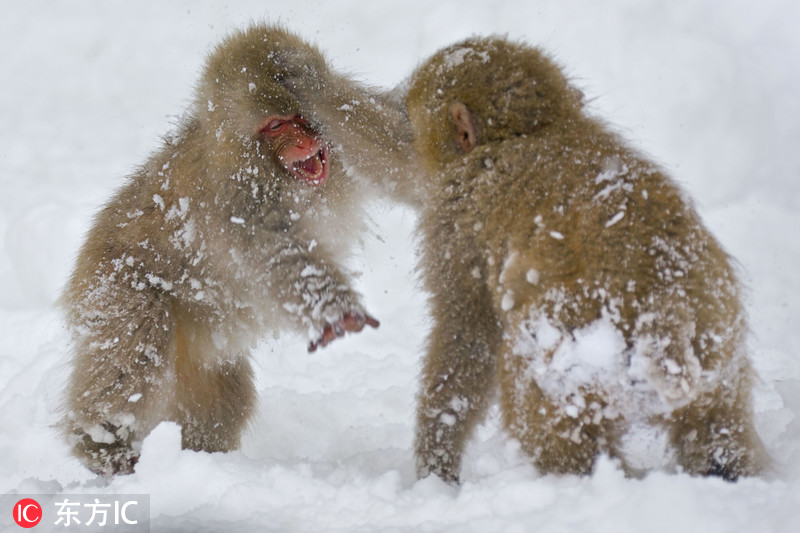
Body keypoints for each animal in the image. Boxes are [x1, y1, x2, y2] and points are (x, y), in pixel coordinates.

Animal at [59, 23, 378, 474]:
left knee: (220, 396)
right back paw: (102, 442)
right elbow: (278, 257)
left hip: (199, 344)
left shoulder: (344, 120)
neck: (263, 165)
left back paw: (198, 457)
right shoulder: (238, 203)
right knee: (136, 349)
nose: (305, 141)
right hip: (115, 286)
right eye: (276, 125)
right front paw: (336, 309)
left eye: (300, 116)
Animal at [286, 38, 768, 482]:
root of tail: (664, 300)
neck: (529, 132)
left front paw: (436, 466)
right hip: (718, 344)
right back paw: (725, 470)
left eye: (412, 115)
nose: (399, 104)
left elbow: (467, 330)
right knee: (717, 427)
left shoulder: (456, 219)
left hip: (578, 354)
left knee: (534, 393)